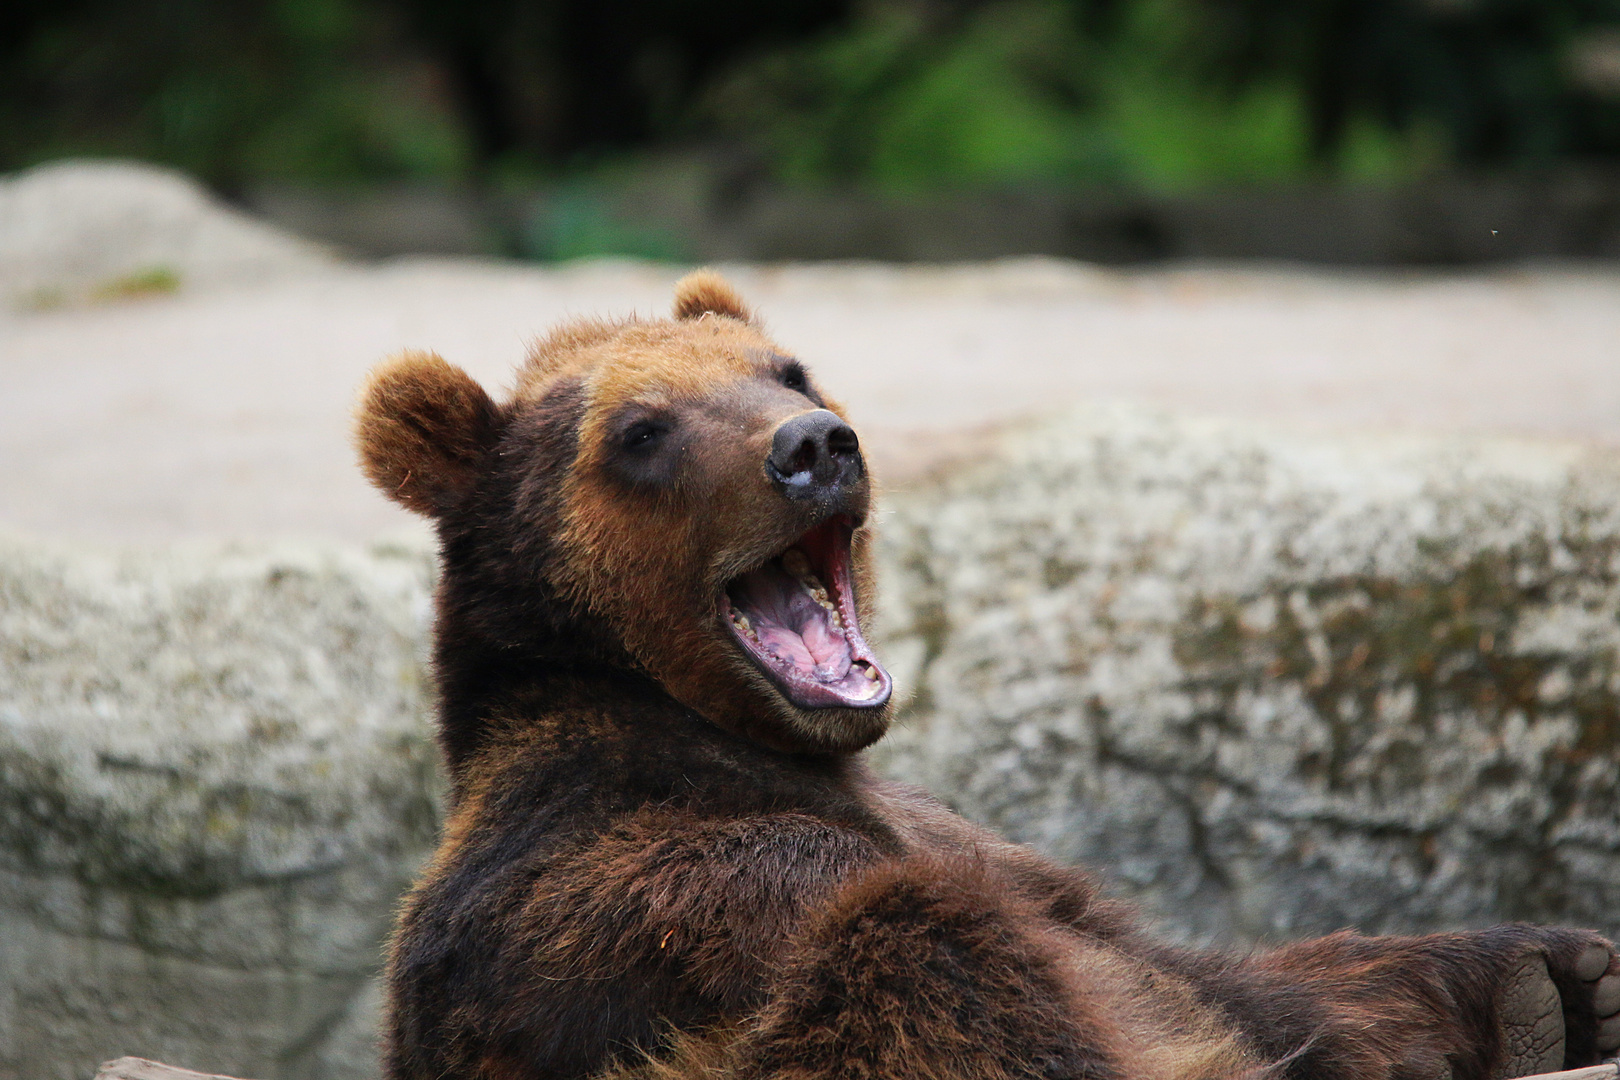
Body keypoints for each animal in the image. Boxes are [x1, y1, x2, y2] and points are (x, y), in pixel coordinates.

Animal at [354, 272, 1620, 1080]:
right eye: (642, 430)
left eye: (788, 368)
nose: (812, 446)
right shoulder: (641, 895)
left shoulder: (989, 848)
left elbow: (1209, 976)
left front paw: (1553, 975)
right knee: (920, 943)